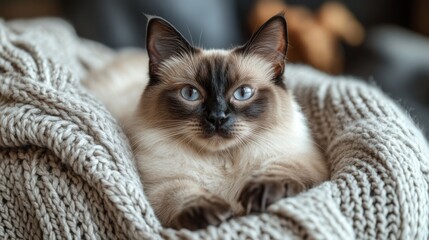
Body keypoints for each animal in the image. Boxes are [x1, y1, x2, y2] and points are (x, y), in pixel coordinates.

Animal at [85, 13, 330, 231]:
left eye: (243, 93)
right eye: (190, 94)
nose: (217, 117)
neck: (220, 159)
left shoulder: (304, 160)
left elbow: (280, 168)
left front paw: (261, 193)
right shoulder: (157, 188)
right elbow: (181, 194)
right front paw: (215, 213)